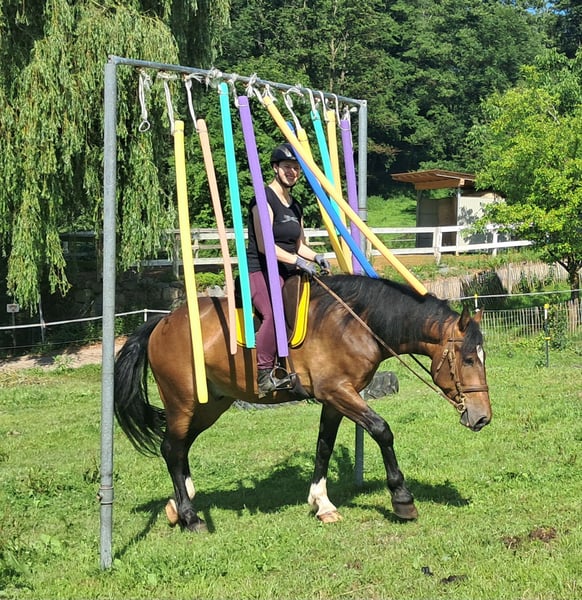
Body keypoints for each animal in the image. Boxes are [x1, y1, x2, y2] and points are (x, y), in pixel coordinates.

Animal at [114, 274, 491, 532]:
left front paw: (322, 504)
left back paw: (180, 504)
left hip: (210, 405)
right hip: (183, 402)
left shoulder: (335, 399)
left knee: (180, 448)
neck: (355, 324)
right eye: (469, 359)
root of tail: (161, 321)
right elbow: (382, 431)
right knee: (172, 448)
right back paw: (191, 517)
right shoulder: (339, 392)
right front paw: (402, 500)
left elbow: (324, 446)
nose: (483, 417)